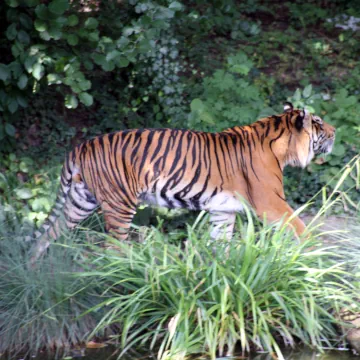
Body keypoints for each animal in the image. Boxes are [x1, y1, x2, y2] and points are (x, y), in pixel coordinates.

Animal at [30, 102, 334, 260]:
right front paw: (317, 254)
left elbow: (220, 243)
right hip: (119, 205)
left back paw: (33, 270)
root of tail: (82, 146)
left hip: (81, 201)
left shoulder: (223, 210)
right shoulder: (270, 203)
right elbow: (301, 228)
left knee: (48, 233)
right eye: (318, 123)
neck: (281, 146)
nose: (335, 132)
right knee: (111, 247)